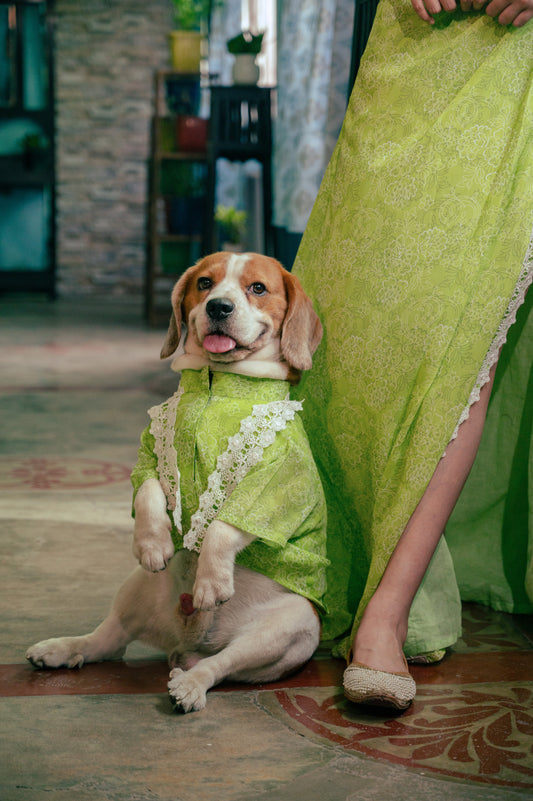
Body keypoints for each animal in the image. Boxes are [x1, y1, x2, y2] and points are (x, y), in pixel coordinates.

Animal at [27, 253, 326, 708]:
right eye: (205, 283)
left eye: (258, 288)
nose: (219, 307)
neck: (216, 386)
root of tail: (189, 641)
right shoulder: (151, 455)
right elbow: (150, 493)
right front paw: (153, 543)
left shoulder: (272, 485)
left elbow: (223, 526)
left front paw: (211, 580)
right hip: (135, 589)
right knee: (106, 641)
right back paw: (61, 648)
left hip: (289, 627)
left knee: (220, 665)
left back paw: (191, 683)